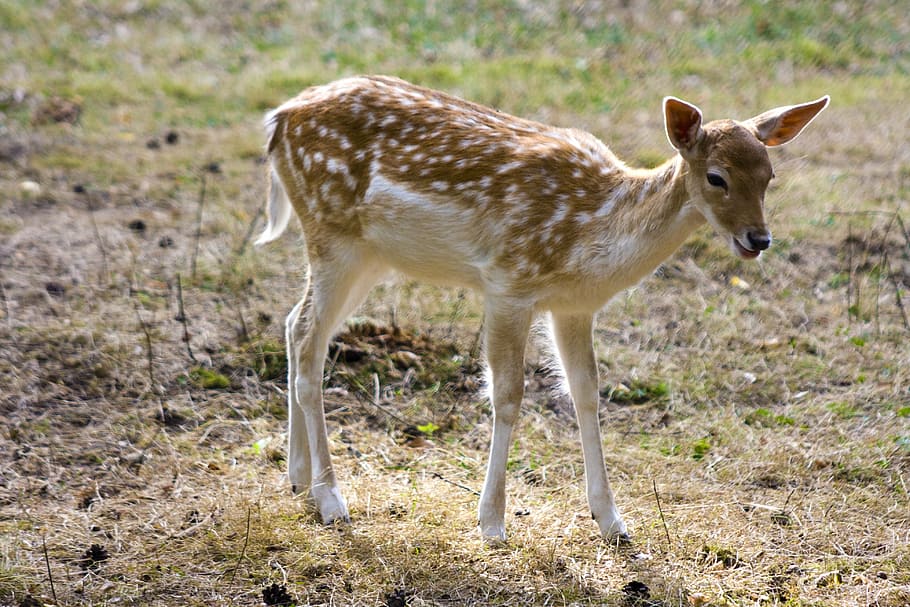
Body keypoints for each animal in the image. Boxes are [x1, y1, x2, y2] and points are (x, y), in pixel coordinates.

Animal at [255, 75, 828, 542]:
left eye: (769, 175)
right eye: (716, 176)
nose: (758, 239)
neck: (591, 237)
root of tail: (277, 118)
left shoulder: (574, 307)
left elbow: (586, 393)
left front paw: (612, 521)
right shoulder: (507, 282)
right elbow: (508, 394)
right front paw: (491, 523)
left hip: (369, 255)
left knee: (295, 325)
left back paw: (297, 477)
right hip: (333, 232)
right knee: (308, 339)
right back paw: (332, 499)